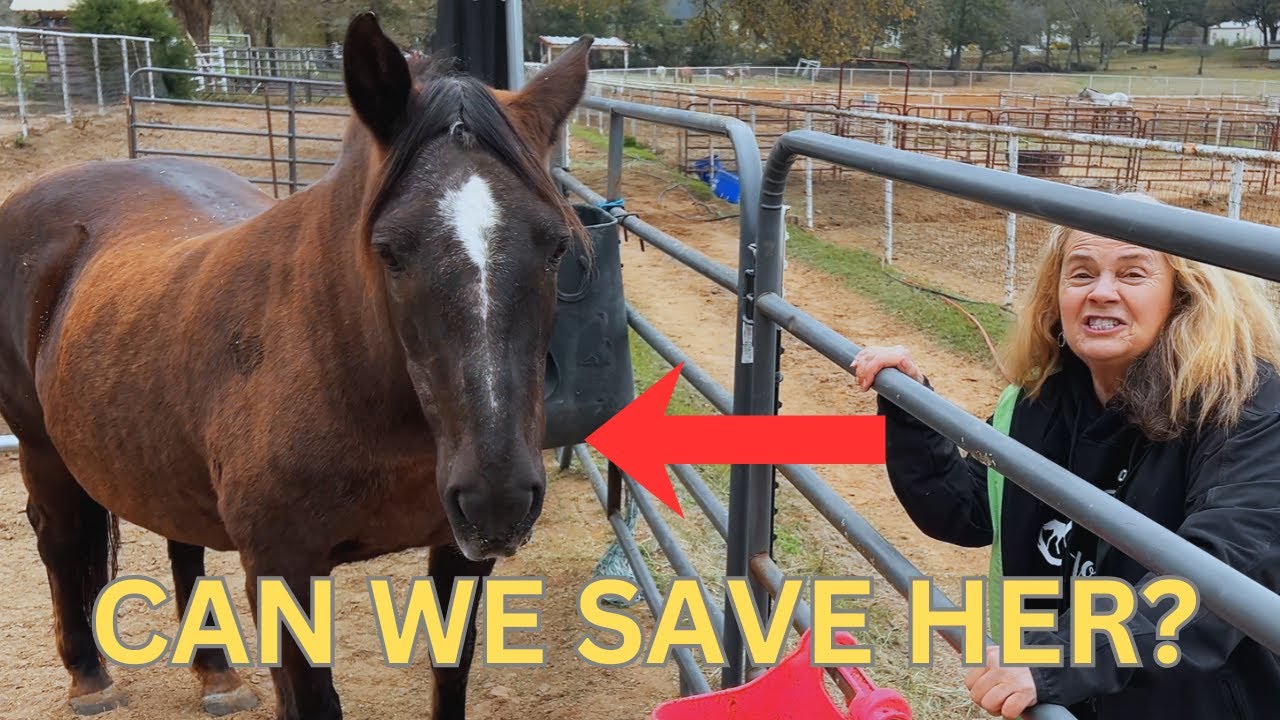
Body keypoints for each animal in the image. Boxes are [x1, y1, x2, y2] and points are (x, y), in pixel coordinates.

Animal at [0, 13, 592, 720]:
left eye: (555, 247)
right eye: (390, 252)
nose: (498, 497)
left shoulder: (459, 553)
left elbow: (450, 679)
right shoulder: (284, 569)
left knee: (181, 544)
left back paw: (217, 675)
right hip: (42, 449)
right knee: (61, 543)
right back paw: (90, 678)